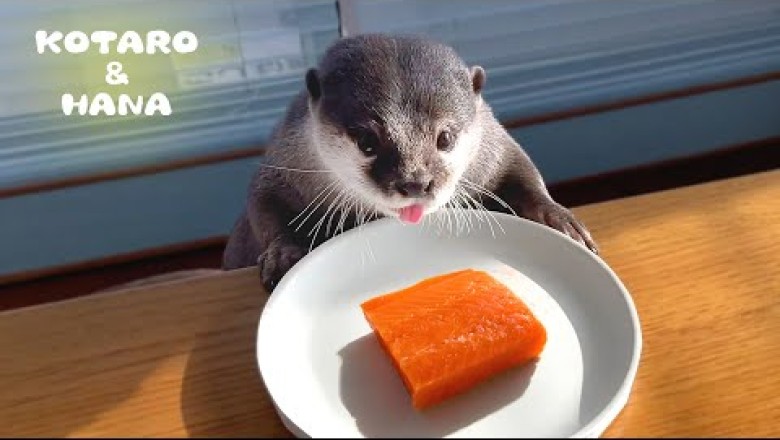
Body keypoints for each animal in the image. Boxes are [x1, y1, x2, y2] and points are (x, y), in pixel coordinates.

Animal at [223, 34, 597, 291]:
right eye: (367, 142)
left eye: (445, 138)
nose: (415, 182)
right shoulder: (284, 158)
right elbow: (263, 202)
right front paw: (283, 253)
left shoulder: (492, 145)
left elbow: (521, 169)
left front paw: (559, 220)